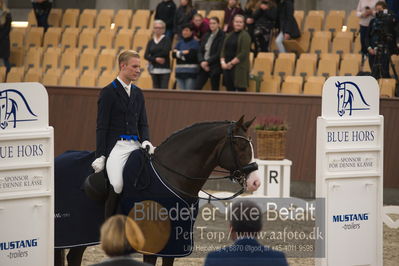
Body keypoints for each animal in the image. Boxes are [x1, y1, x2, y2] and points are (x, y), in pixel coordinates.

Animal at [55, 117, 262, 266]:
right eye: (241, 146)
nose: (255, 182)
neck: (171, 175)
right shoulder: (153, 245)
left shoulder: (174, 245)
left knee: (73, 257)